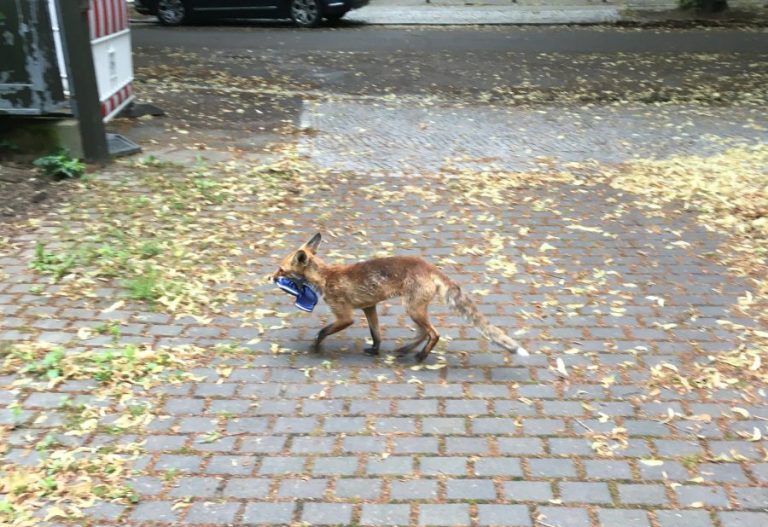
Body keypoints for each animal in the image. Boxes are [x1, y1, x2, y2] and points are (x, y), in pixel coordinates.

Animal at [272, 233, 529, 363]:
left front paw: (315, 348)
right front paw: (375, 351)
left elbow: (322, 331)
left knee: (433, 333)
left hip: (412, 309)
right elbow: (376, 334)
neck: (326, 276)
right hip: (414, 310)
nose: (270, 277)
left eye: (281, 270)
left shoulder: (345, 316)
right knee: (423, 333)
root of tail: (429, 266)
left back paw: (421, 356)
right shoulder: (370, 307)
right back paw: (405, 350)